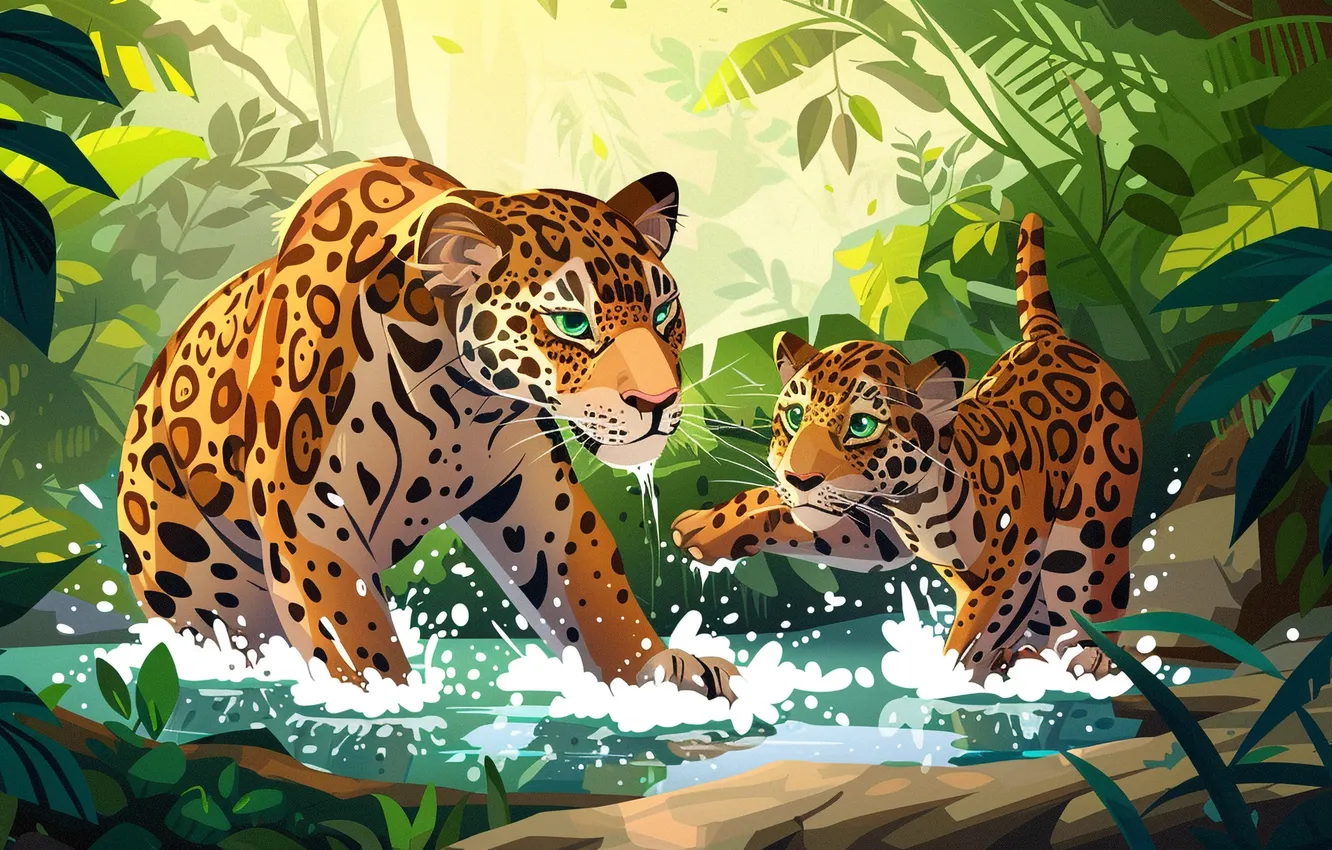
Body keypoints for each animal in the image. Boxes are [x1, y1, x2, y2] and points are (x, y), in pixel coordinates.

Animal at [117, 156, 738, 700]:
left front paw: (654, 679)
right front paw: (388, 707)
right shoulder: (309, 516)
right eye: (571, 323)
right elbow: (350, 631)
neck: (458, 402)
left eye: (664, 312)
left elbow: (591, 589)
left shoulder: (531, 492)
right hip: (193, 578)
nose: (658, 401)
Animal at [672, 213, 1142, 680]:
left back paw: (1082, 660)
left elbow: (974, 635)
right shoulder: (875, 530)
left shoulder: (1010, 567)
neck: (914, 505)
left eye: (861, 425)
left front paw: (944, 684)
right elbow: (775, 506)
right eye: (794, 417)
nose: (799, 477)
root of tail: (1051, 338)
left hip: (1088, 524)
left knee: (1086, 594)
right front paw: (701, 527)